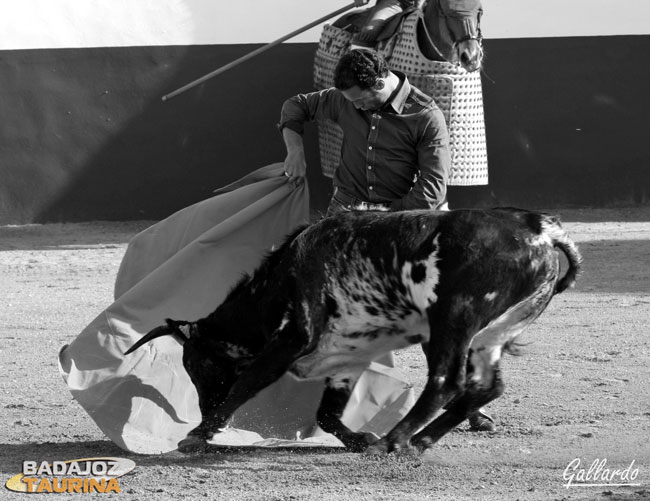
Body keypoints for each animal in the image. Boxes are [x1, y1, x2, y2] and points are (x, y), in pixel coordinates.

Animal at [124, 207, 580, 454]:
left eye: (195, 365)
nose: (201, 409)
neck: (281, 278)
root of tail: (540, 228)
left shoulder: (293, 339)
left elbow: (245, 385)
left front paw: (197, 435)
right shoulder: (347, 358)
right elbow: (327, 416)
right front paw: (357, 439)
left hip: (452, 319)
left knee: (446, 381)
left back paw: (394, 441)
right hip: (490, 336)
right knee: (486, 386)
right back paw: (417, 441)